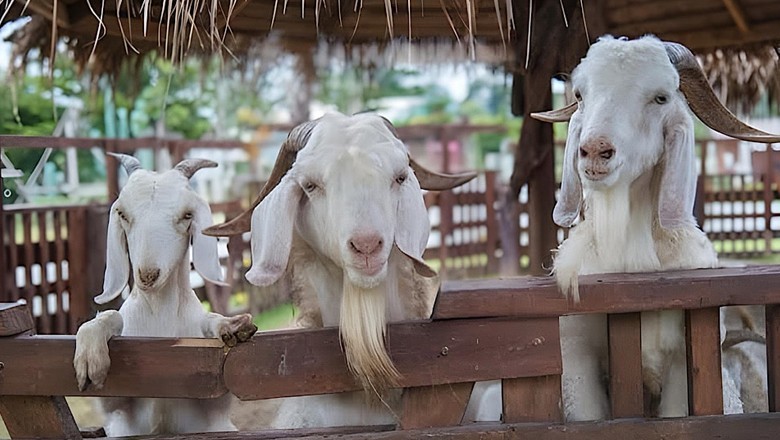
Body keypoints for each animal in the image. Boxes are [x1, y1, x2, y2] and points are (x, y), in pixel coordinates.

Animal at [73, 154, 257, 436]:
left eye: (187, 215)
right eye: (123, 214)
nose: (148, 275)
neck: (160, 317)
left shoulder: (214, 402)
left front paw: (230, 326)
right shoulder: (118, 410)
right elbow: (110, 316)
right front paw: (90, 357)